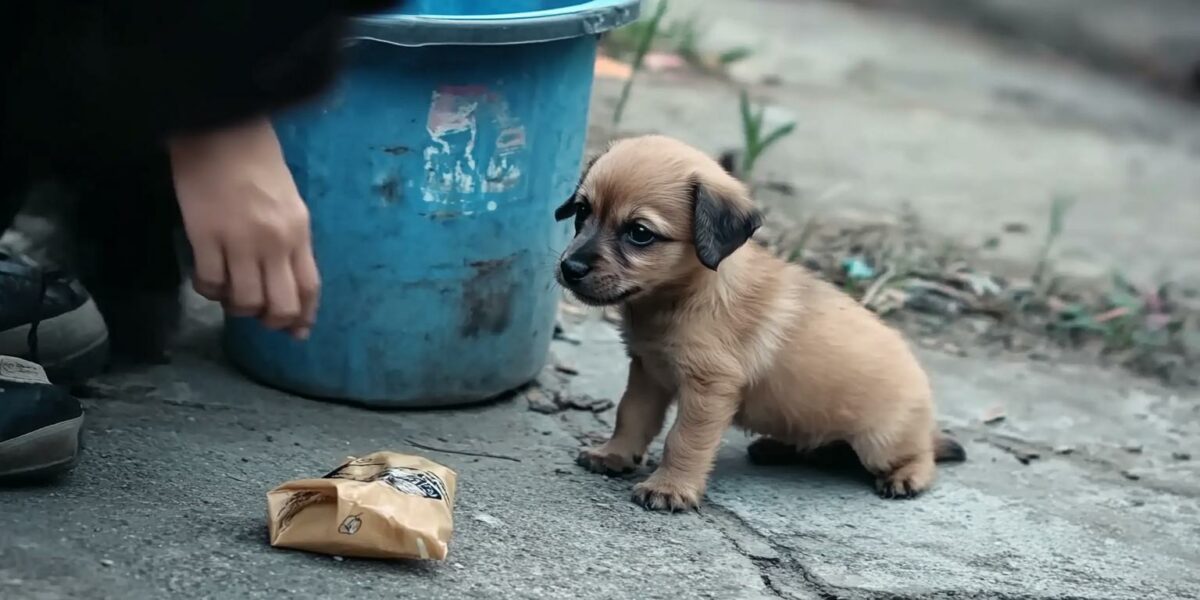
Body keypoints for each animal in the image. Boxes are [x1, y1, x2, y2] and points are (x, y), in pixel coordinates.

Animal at [554, 135, 964, 511]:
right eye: (582, 212)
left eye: (640, 233)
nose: (569, 268)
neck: (682, 297)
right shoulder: (647, 373)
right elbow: (631, 416)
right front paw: (614, 454)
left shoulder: (708, 391)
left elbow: (683, 440)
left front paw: (670, 487)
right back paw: (780, 447)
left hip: (880, 443)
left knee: (922, 456)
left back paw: (908, 475)